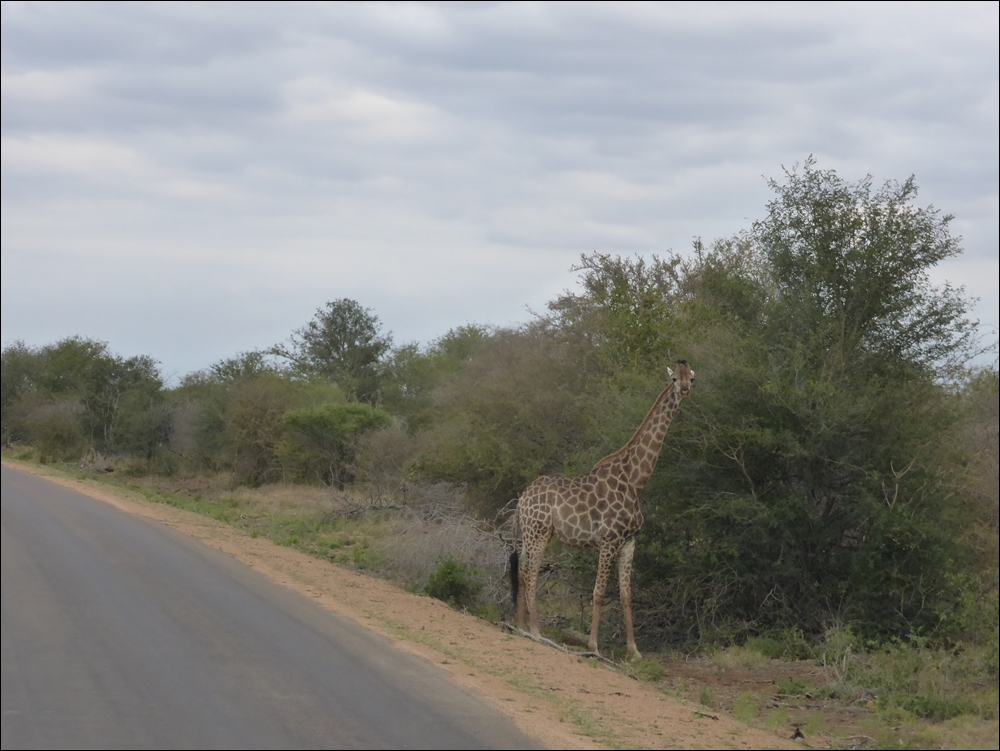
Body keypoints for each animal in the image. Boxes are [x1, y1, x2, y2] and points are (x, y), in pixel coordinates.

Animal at [510, 360, 694, 661]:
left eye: (691, 377)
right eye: (674, 379)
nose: (686, 390)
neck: (636, 481)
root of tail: (521, 499)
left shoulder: (629, 542)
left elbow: (625, 595)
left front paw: (634, 651)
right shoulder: (608, 540)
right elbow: (598, 592)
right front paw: (593, 646)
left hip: (531, 533)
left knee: (523, 569)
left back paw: (521, 625)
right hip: (539, 533)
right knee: (531, 573)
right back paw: (536, 631)